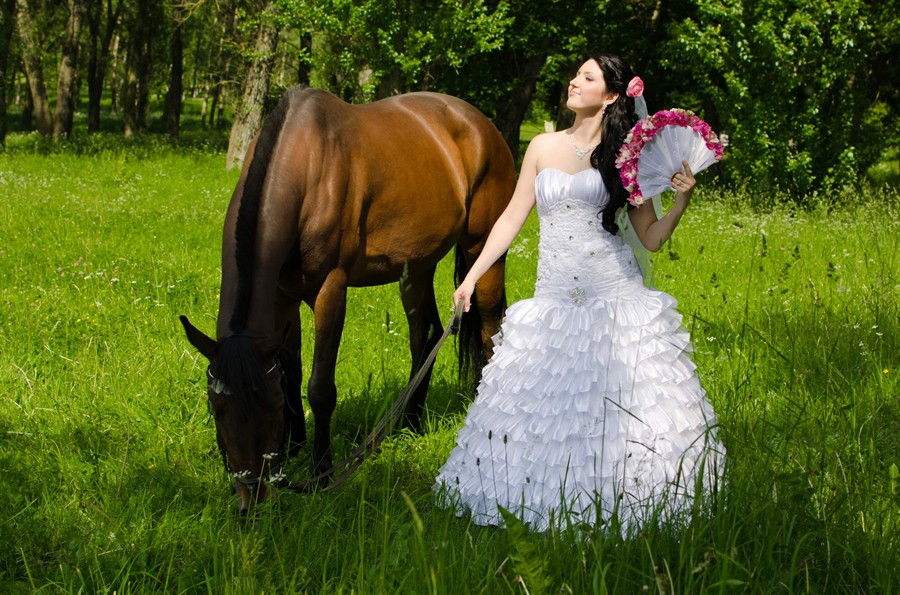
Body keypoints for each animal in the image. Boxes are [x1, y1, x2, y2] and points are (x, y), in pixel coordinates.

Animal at [180, 86, 516, 512]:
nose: (252, 501)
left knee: (489, 330)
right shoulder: (281, 297)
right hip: (416, 269)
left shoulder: (330, 290)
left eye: (269, 408)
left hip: (484, 251)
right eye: (217, 409)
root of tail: (482, 126)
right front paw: (295, 447)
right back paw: (408, 424)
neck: (306, 165)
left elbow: (320, 387)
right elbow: (291, 370)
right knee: (425, 335)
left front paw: (321, 471)